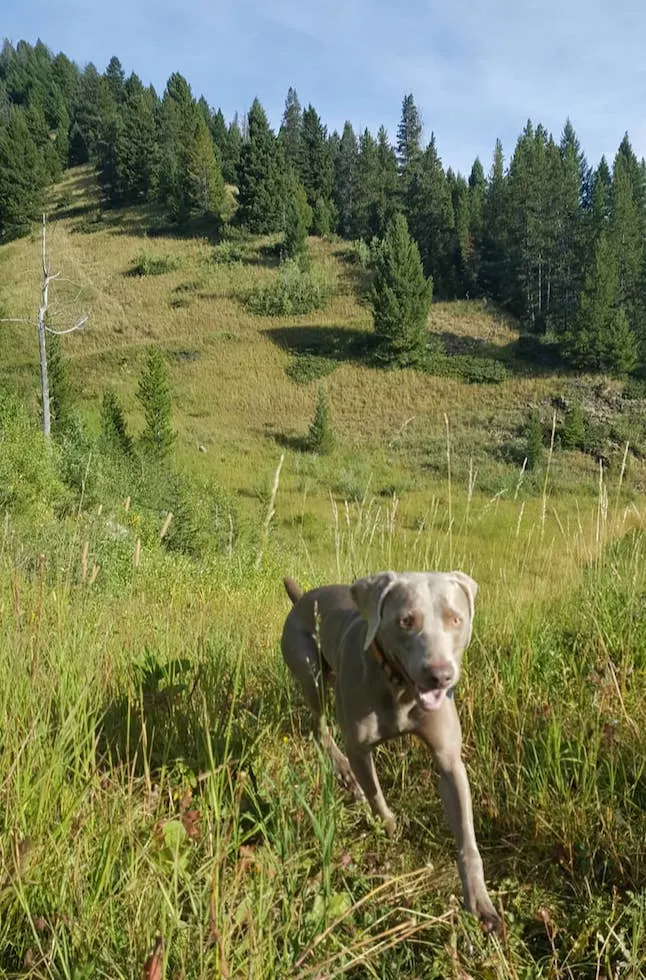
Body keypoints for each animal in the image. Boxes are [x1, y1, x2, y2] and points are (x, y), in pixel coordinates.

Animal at [280, 572, 504, 936]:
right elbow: (374, 792)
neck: (400, 687)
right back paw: (345, 775)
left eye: (455, 619)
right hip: (309, 669)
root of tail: (302, 598)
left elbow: (467, 837)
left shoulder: (449, 762)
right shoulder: (358, 747)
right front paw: (389, 826)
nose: (440, 675)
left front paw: (481, 905)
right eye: (405, 621)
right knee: (318, 726)